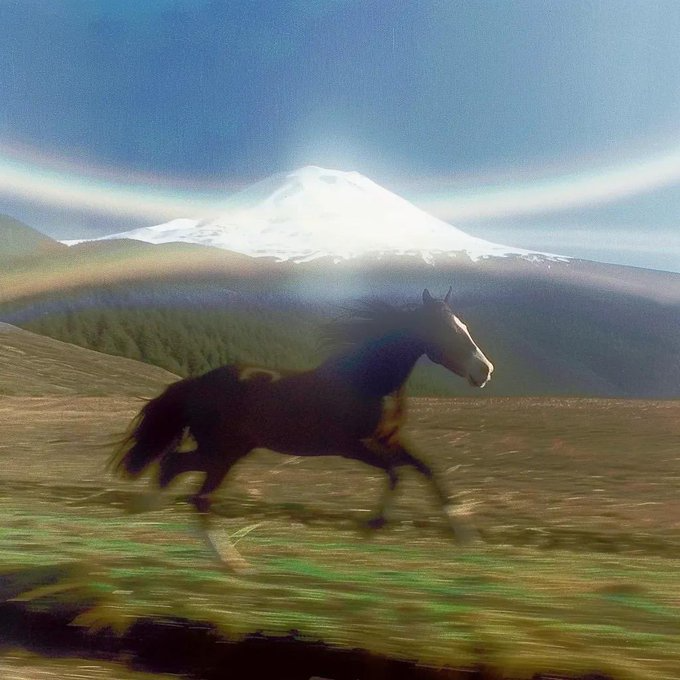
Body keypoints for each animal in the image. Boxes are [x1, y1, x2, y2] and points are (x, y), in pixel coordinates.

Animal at [110, 288, 494, 566]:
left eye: (463, 326)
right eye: (445, 330)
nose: (485, 371)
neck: (368, 383)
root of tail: (197, 384)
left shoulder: (391, 439)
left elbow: (429, 471)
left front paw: (465, 537)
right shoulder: (355, 446)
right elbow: (396, 474)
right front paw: (370, 528)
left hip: (227, 451)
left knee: (173, 466)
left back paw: (147, 515)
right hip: (222, 452)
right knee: (196, 492)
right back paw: (232, 562)